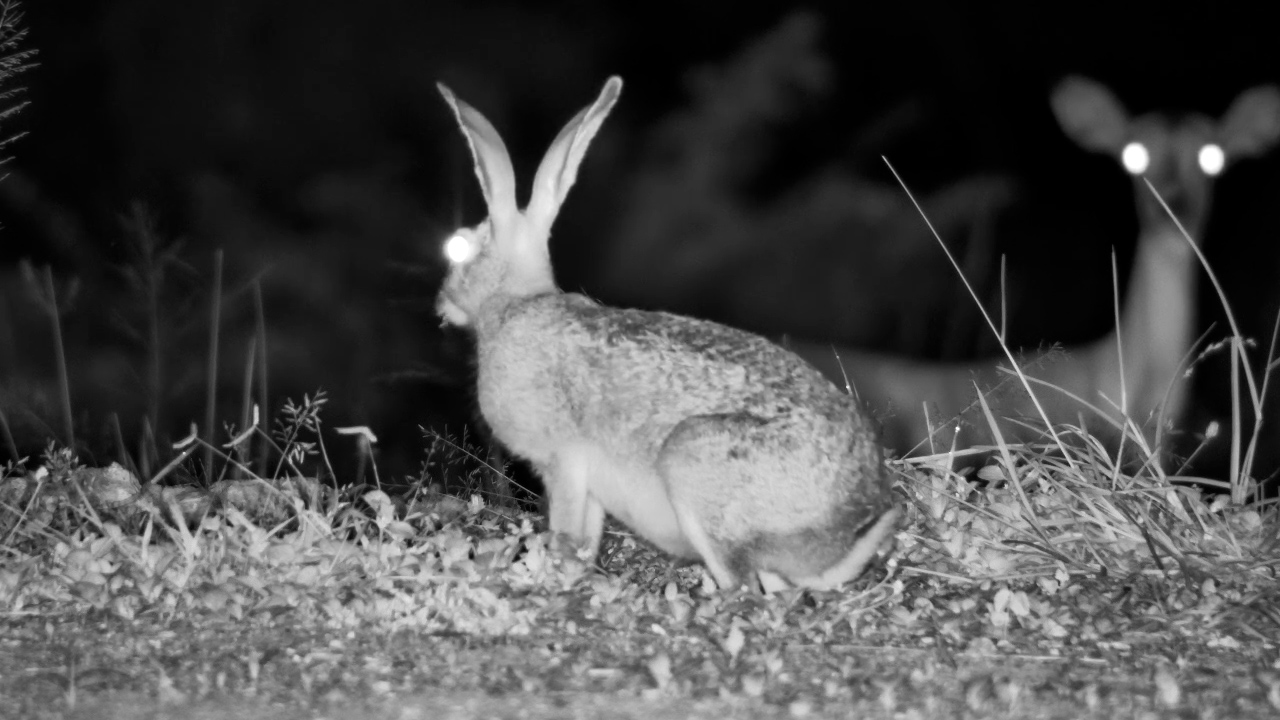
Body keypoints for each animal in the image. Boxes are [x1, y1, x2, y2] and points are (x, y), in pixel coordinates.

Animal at [434, 75, 899, 592]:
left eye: (458, 249)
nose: (442, 301)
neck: (515, 302)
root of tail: (846, 525)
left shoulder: (565, 462)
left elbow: (568, 536)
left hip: (693, 467)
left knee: (742, 587)